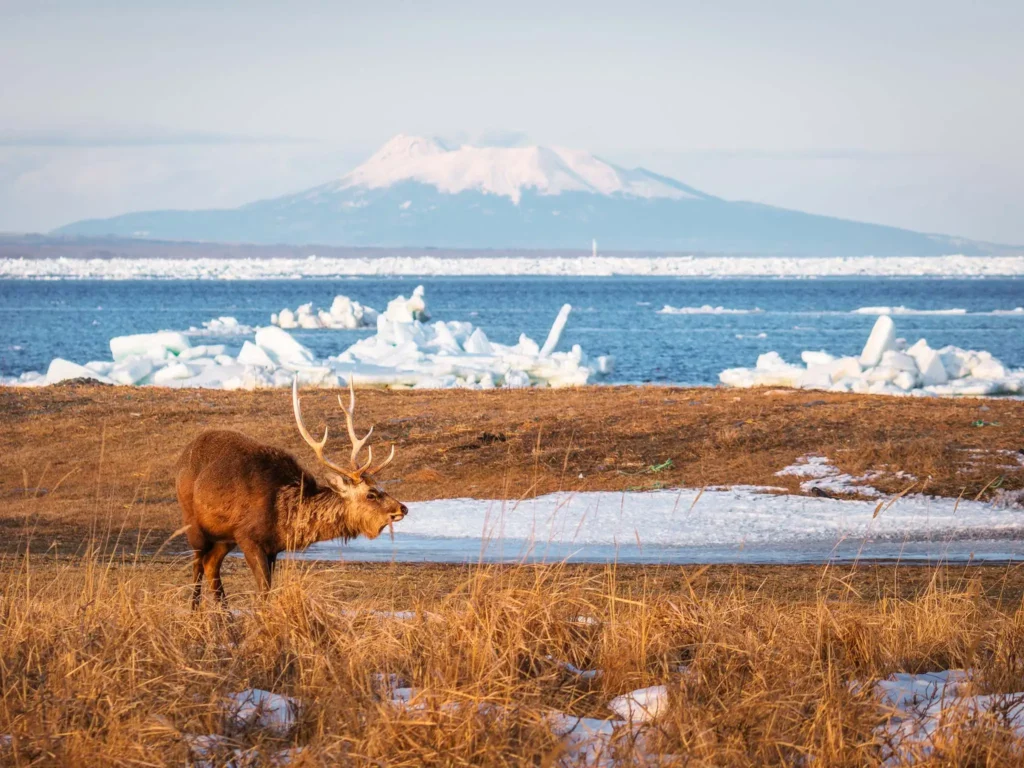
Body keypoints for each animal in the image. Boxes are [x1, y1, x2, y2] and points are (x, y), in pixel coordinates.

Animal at [175, 379, 408, 607]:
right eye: (371, 494)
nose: (403, 508)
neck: (284, 515)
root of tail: (183, 455)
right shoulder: (247, 536)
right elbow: (264, 590)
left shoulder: (272, 547)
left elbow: (268, 589)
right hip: (192, 521)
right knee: (198, 564)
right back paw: (194, 610)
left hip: (224, 536)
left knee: (211, 564)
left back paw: (225, 615)